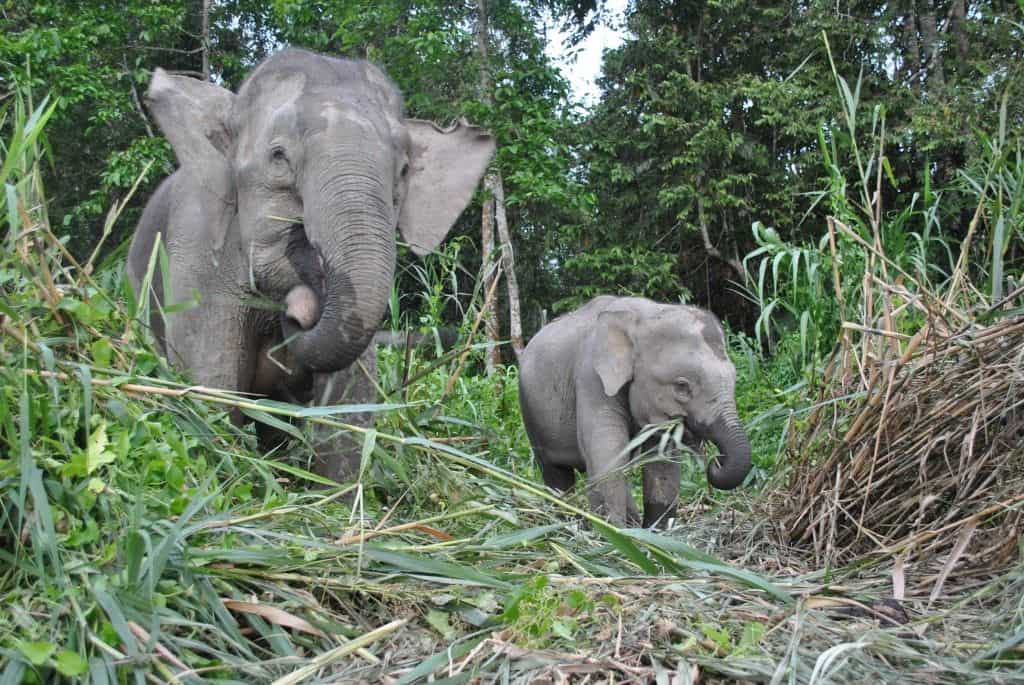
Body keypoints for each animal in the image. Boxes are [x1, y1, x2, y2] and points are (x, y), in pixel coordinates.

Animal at [125, 48, 493, 481]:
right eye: (278, 157)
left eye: (403, 170)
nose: (300, 307)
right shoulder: (196, 255)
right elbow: (209, 387)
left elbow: (350, 403)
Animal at [520, 296, 753, 528]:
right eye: (681, 386)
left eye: (734, 379)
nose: (715, 462)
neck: (645, 315)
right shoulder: (590, 377)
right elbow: (606, 452)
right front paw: (614, 531)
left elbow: (661, 462)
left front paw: (651, 532)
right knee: (556, 474)